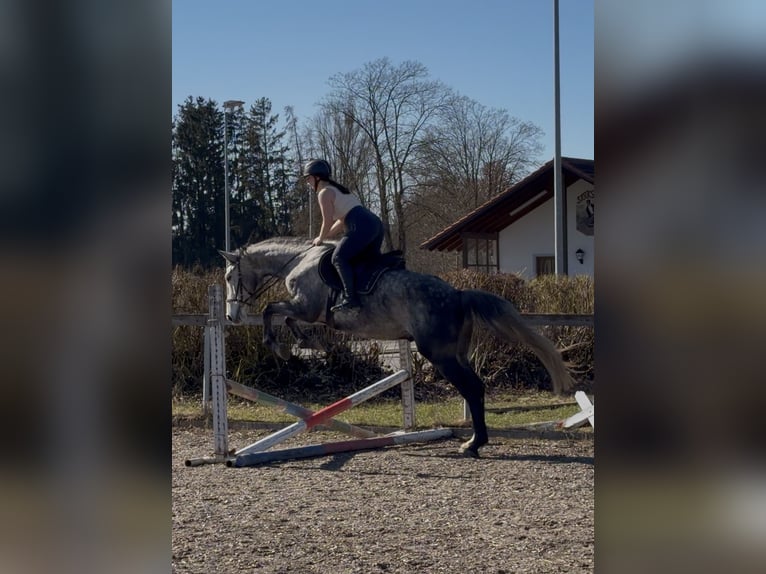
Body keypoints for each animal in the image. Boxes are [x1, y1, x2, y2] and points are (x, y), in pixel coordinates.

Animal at [220, 236, 574, 458]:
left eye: (228, 277)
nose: (231, 316)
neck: (299, 261)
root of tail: (458, 294)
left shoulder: (306, 307)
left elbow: (274, 311)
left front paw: (278, 345)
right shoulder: (305, 310)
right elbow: (286, 317)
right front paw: (304, 342)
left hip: (440, 356)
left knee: (472, 389)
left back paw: (473, 445)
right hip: (455, 354)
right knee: (477, 388)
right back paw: (475, 441)